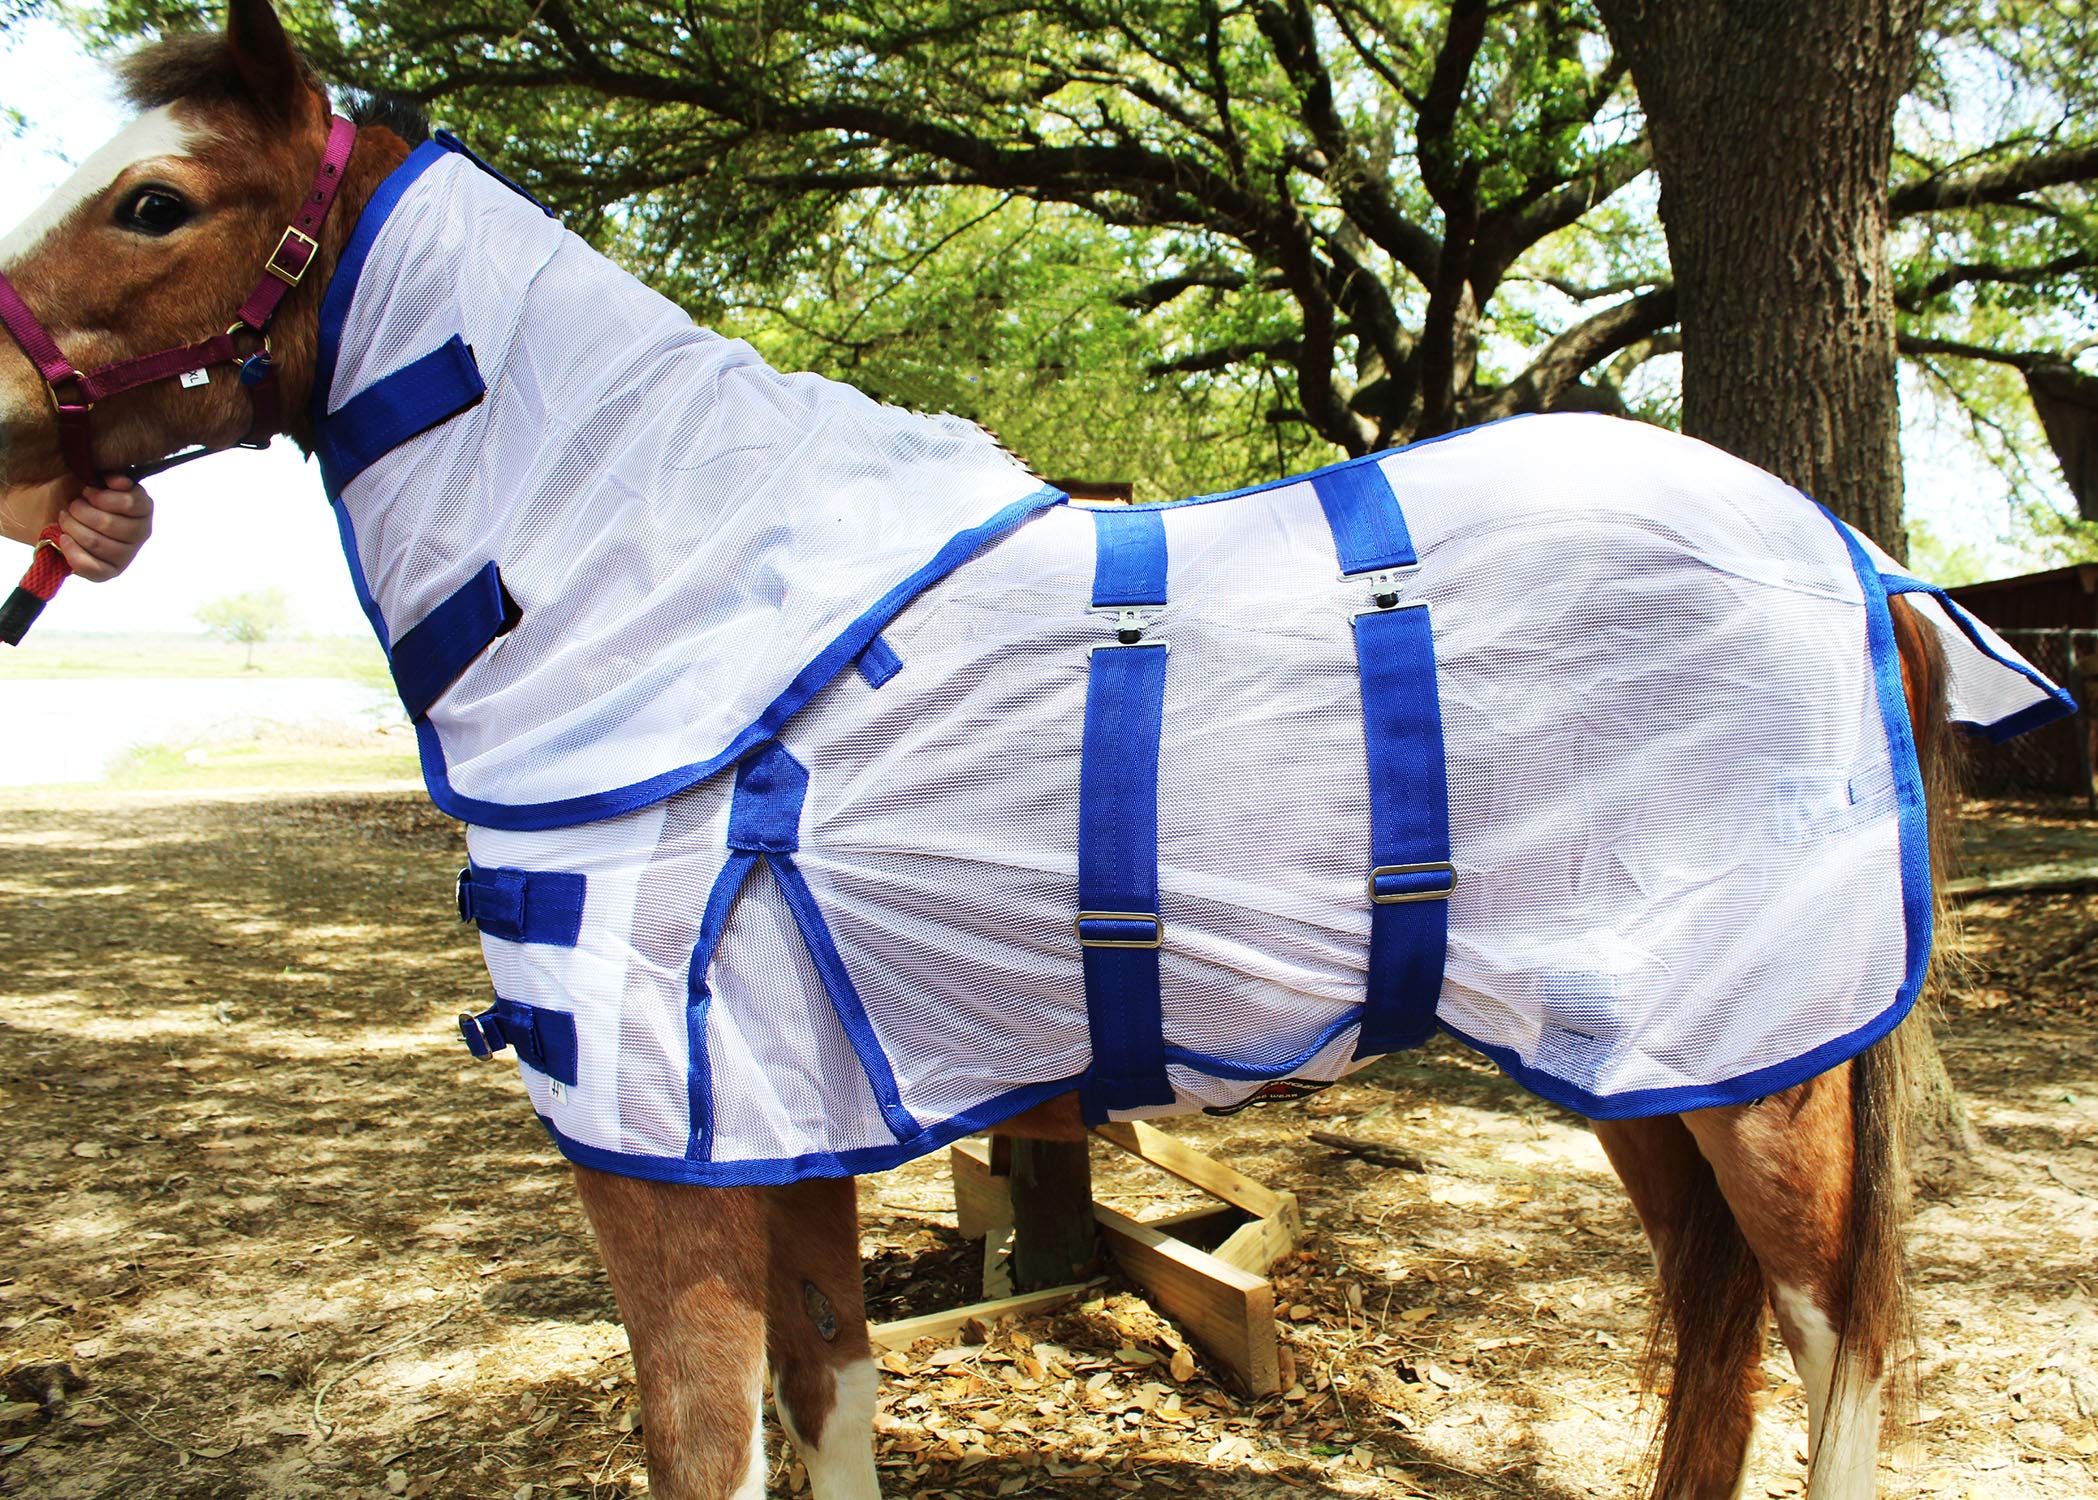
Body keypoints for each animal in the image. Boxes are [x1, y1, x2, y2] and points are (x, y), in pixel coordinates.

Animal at [0, 4, 2031, 1497]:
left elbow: (708, 1443)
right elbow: (826, 1406)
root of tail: (1858, 563)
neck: (673, 589)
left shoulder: (659, 1176)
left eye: (154, 201)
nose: (6, 417)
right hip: (1646, 1070)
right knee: (1719, 1321)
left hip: (1759, 1074)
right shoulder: (795, 1147)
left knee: (1838, 1341)